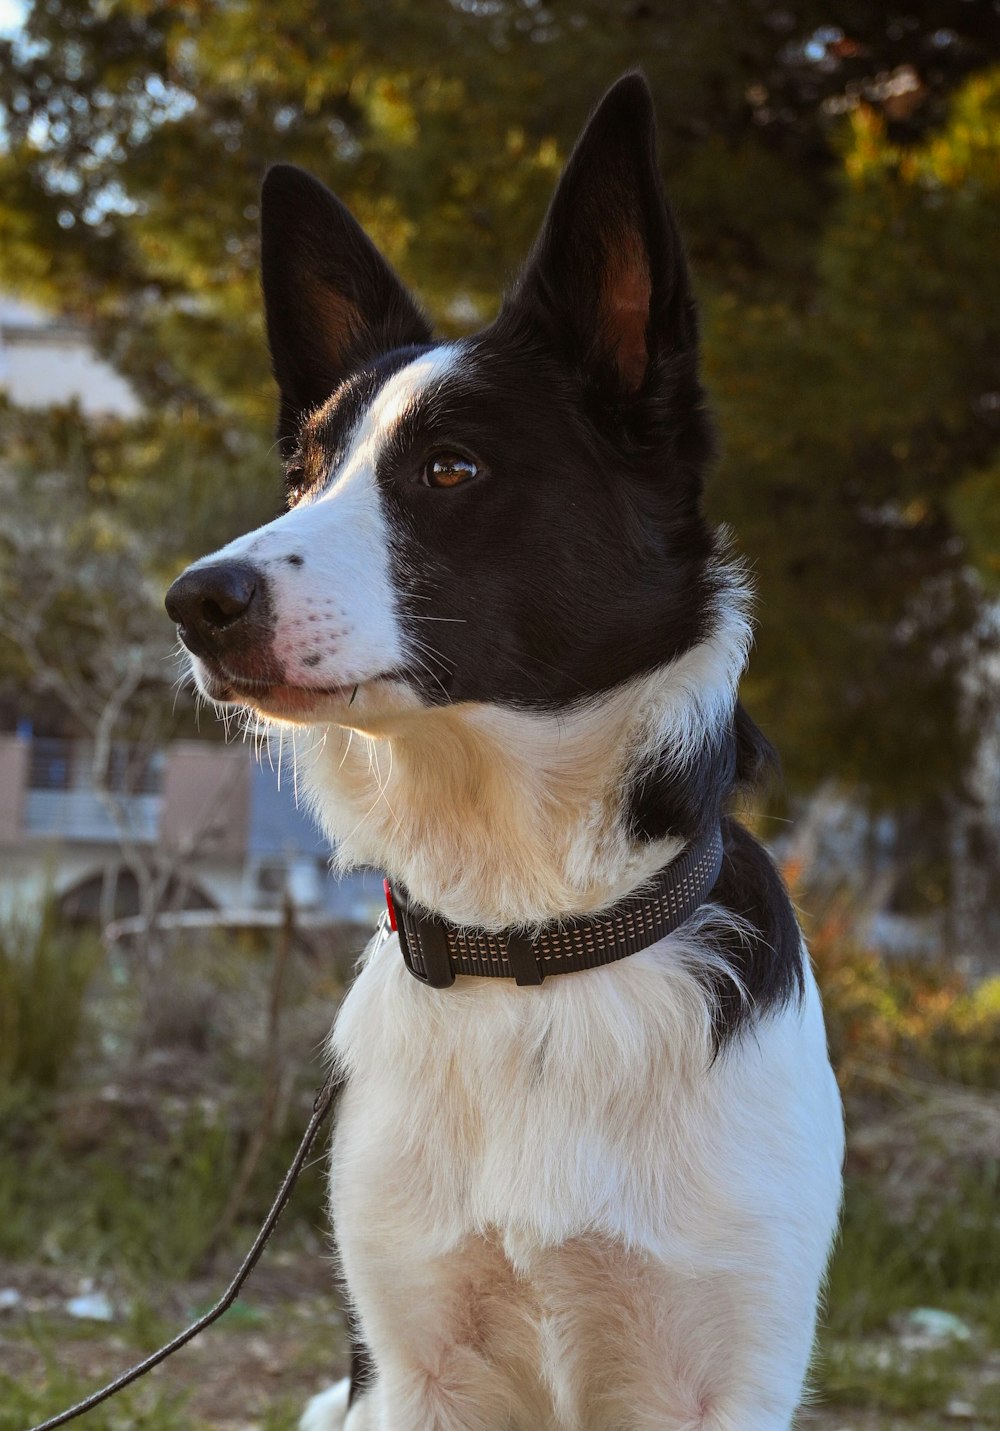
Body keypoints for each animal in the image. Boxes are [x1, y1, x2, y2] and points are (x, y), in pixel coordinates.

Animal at [165, 75, 846, 1431]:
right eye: (305, 474)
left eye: (450, 467)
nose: (193, 602)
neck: (526, 937)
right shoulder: (409, 1372)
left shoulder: (727, 1376)